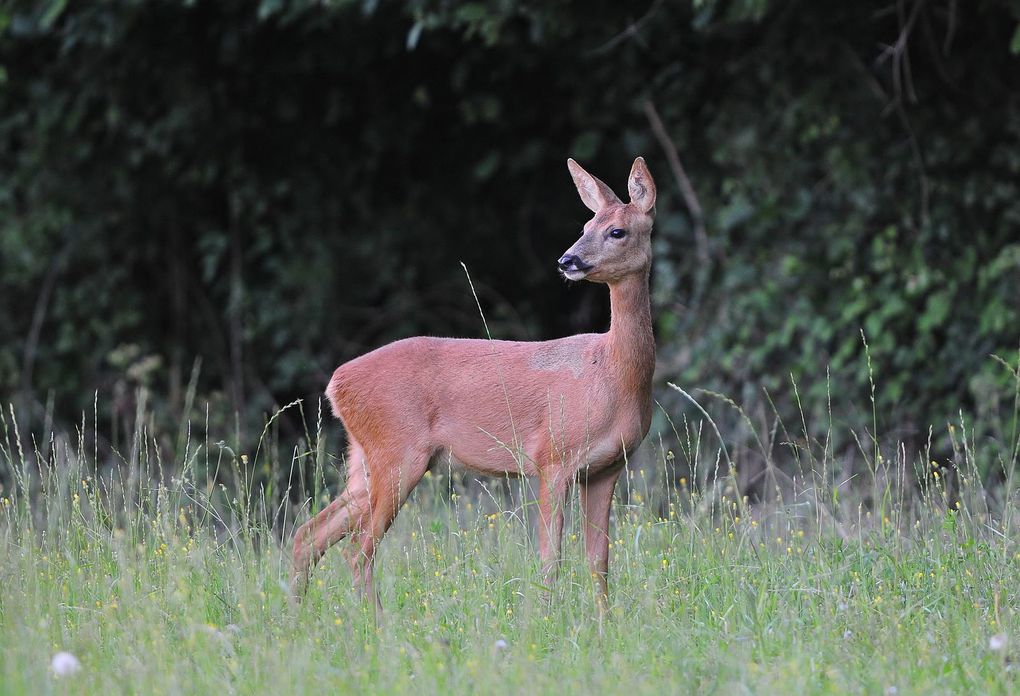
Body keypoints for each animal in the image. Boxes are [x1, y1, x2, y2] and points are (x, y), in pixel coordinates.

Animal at [293, 156, 660, 608]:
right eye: (585, 226)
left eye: (616, 230)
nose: (567, 260)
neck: (611, 374)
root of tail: (336, 384)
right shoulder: (552, 456)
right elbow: (550, 559)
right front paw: (546, 617)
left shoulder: (608, 467)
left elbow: (599, 562)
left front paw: (603, 621)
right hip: (397, 453)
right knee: (357, 551)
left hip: (364, 459)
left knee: (308, 535)